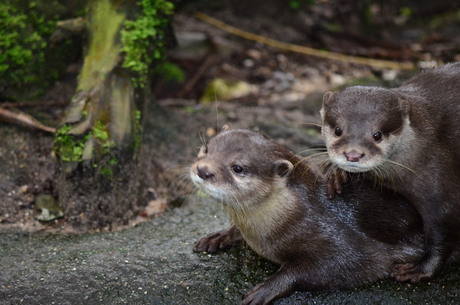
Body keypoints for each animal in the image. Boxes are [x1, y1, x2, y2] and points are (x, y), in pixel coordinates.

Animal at [189, 127, 436, 304]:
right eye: (206, 148)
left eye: (238, 168)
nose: (203, 170)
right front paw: (219, 236)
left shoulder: (339, 240)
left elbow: (337, 265)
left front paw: (267, 287)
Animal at [320, 61, 460, 282]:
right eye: (338, 130)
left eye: (377, 135)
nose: (353, 154)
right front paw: (336, 174)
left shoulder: (440, 179)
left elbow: (444, 230)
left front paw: (419, 269)